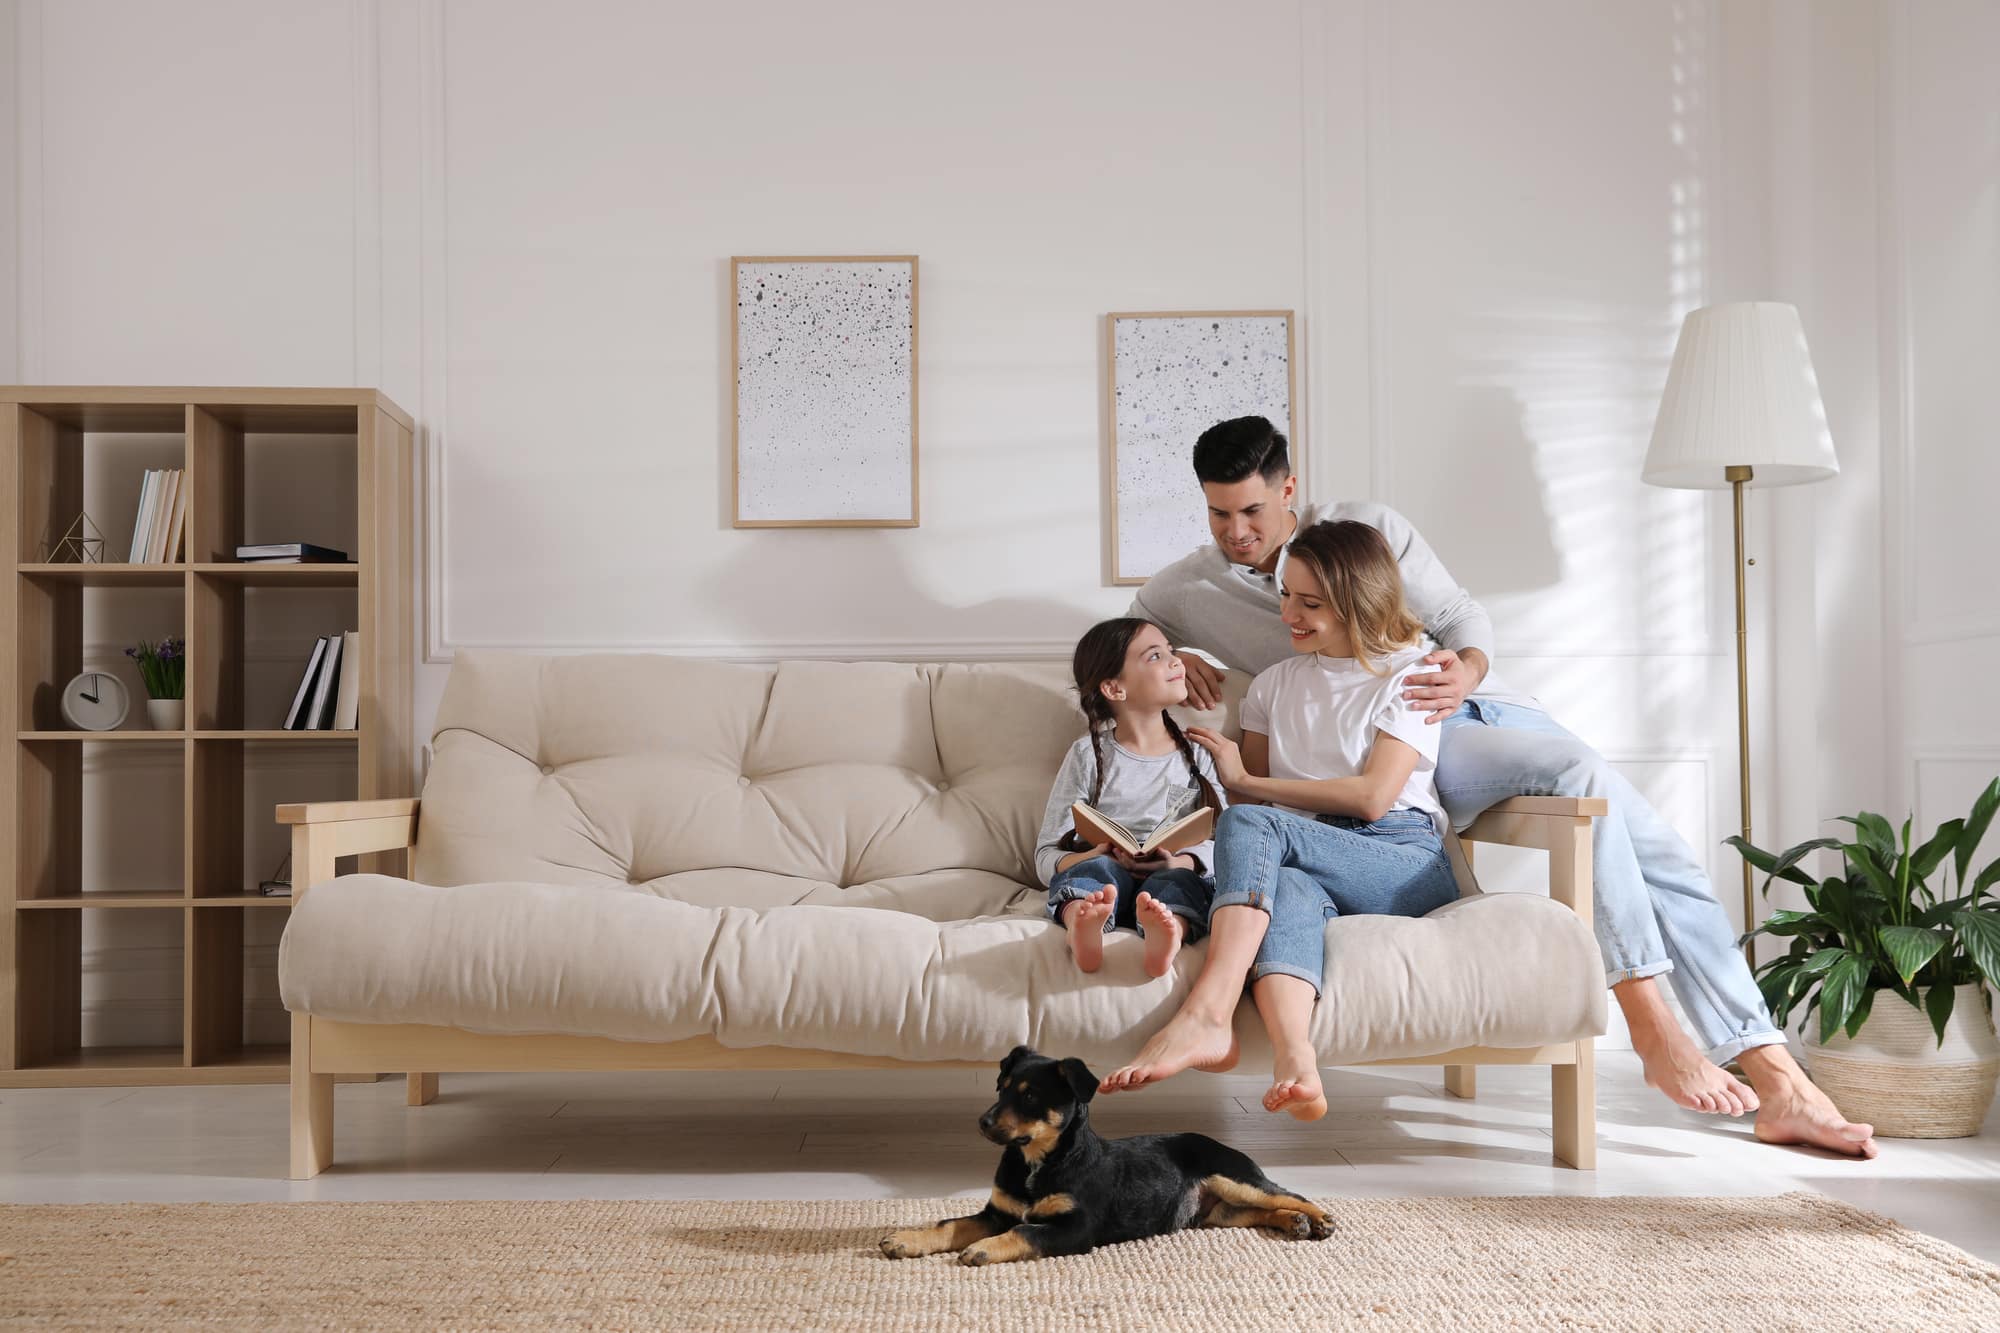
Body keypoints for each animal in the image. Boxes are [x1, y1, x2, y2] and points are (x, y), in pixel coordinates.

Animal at [880, 1040, 1328, 1264]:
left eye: (1030, 1096)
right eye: (1001, 1088)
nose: (983, 1123)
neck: (1036, 1162)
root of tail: (1219, 1141)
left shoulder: (1077, 1227)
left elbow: (1024, 1230)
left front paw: (983, 1249)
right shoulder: (997, 1212)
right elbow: (949, 1224)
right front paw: (905, 1240)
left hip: (1232, 1176)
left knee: (1288, 1194)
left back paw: (1320, 1219)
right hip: (1216, 1212)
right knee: (1257, 1211)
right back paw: (1293, 1223)